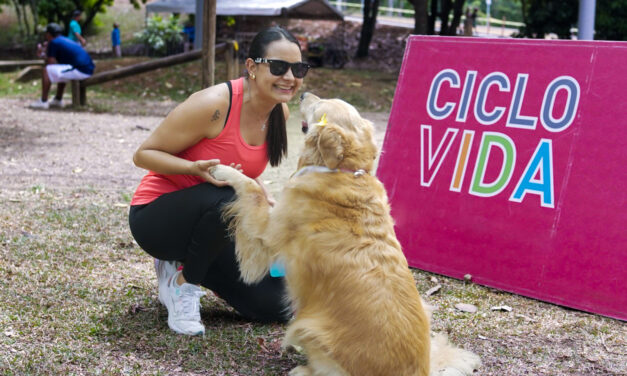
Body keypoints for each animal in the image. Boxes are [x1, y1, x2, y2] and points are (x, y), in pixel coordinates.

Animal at [211, 92, 480, 374]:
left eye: (319, 105)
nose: (303, 93)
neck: (343, 170)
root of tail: (420, 370)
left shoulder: (268, 229)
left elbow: (252, 188)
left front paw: (224, 169)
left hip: (307, 328)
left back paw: (303, 368)